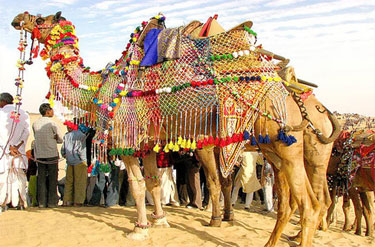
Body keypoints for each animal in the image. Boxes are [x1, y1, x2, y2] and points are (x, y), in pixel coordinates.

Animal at [11, 11, 340, 245]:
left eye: (39, 19)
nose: (18, 18)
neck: (100, 87)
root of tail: (294, 96)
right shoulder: (148, 142)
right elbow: (155, 183)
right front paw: (160, 220)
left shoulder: (130, 139)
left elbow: (142, 184)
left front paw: (140, 228)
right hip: (277, 146)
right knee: (298, 201)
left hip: (291, 145)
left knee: (309, 203)